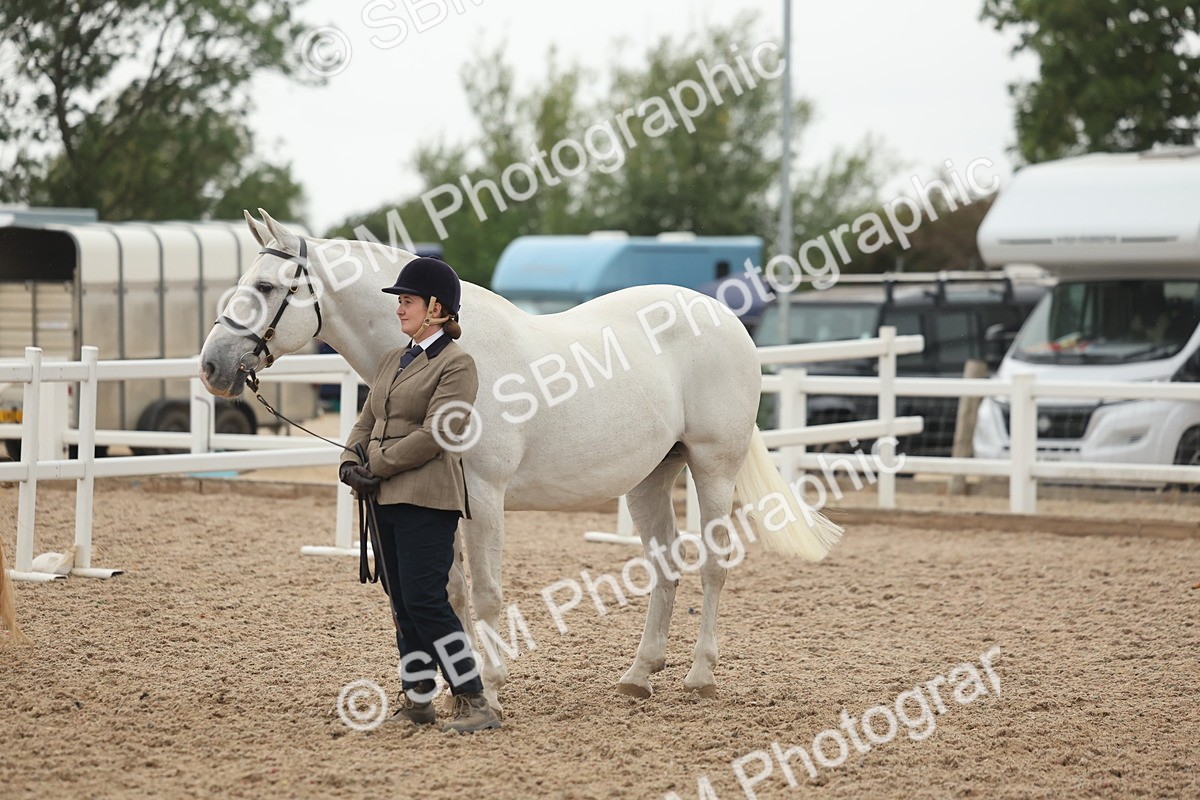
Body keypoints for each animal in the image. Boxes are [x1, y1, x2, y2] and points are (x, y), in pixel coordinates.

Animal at [199, 209, 842, 711]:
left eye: (264, 286)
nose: (211, 366)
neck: (450, 351)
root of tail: (726, 318)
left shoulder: (484, 493)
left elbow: (486, 591)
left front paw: (491, 684)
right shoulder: (444, 500)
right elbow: (453, 591)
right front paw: (455, 686)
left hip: (712, 466)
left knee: (713, 564)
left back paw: (700, 676)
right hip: (650, 477)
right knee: (667, 564)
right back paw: (638, 676)